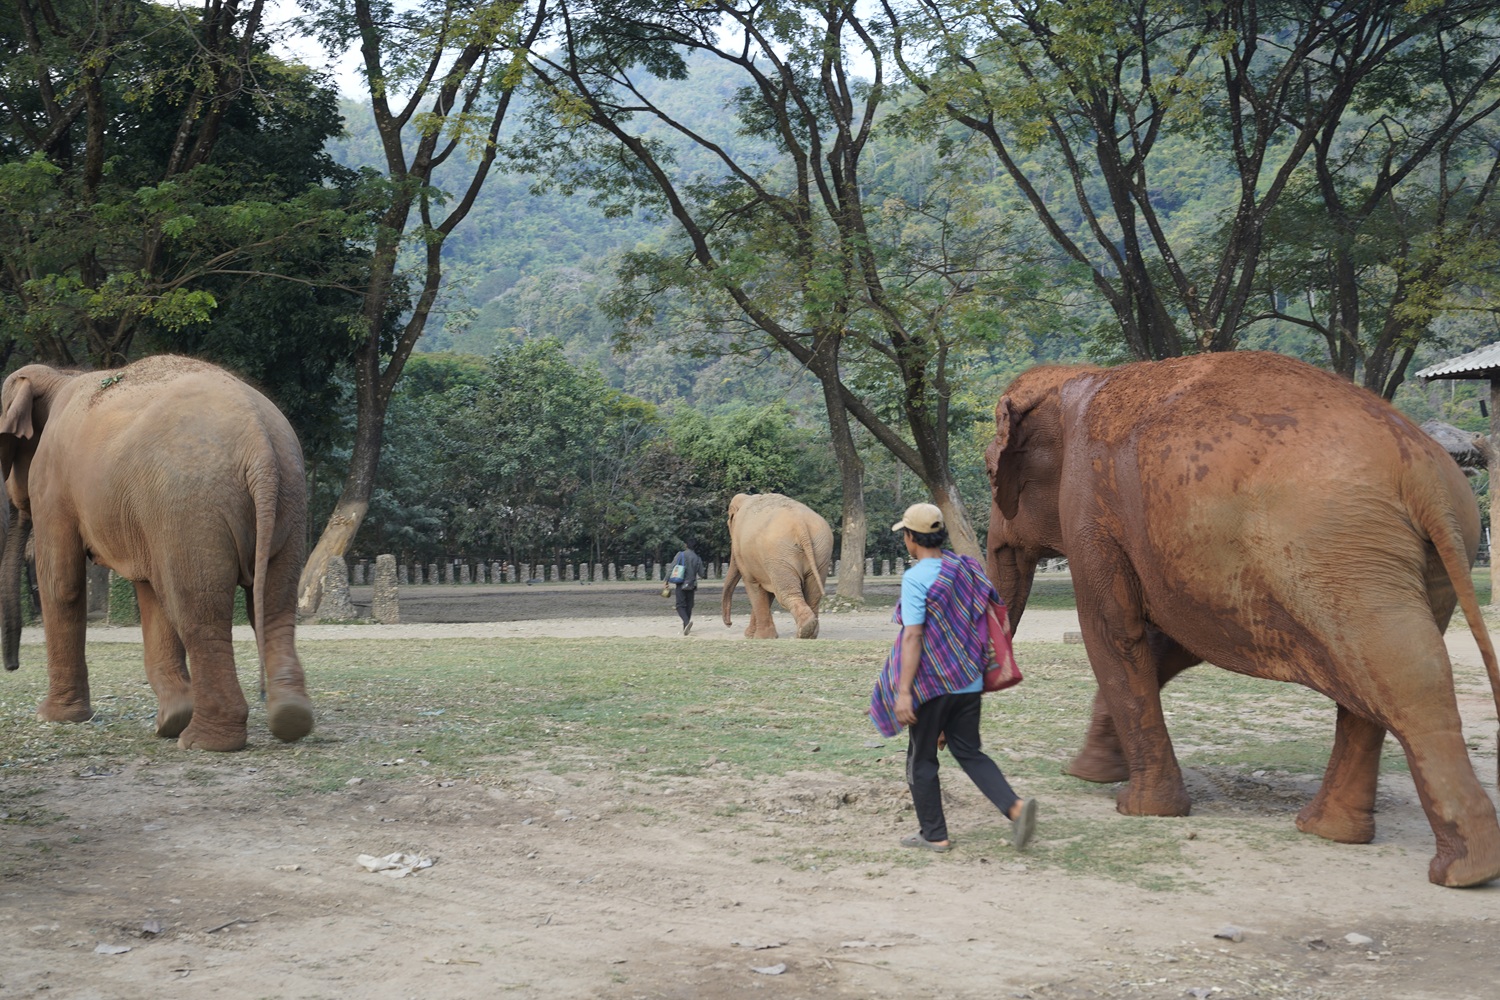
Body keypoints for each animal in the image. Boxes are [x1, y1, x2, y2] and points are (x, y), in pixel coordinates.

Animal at [0, 356, 313, 752]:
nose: (12, 667)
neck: (60, 376)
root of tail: (258, 441)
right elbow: (148, 589)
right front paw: (170, 720)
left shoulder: (53, 483)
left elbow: (62, 583)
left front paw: (54, 717)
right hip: (289, 497)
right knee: (274, 605)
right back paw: (290, 718)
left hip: (192, 506)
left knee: (198, 609)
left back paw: (204, 741)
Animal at [721, 493, 834, 639]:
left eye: (729, 523)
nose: (729, 624)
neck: (747, 497)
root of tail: (800, 524)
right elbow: (767, 591)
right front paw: (754, 635)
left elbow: (754, 586)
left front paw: (760, 637)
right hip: (820, 551)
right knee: (813, 593)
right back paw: (809, 633)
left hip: (779, 553)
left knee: (785, 594)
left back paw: (804, 631)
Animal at [983, 350, 1500, 887]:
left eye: (988, 472)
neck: (1077, 377)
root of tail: (1423, 469)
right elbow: (1170, 642)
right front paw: (1091, 773)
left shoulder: (1090, 506)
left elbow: (1114, 632)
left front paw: (1136, 807)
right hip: (1417, 557)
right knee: (1379, 672)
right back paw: (1331, 833)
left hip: (1337, 549)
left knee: (1404, 676)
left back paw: (1462, 871)